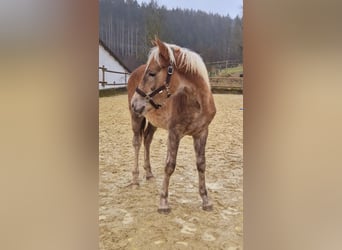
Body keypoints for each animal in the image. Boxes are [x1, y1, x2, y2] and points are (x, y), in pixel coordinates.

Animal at [127, 37, 215, 213]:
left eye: (152, 73)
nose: (134, 103)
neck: (197, 103)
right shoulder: (174, 133)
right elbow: (169, 165)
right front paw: (163, 202)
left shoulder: (202, 132)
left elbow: (201, 164)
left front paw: (205, 200)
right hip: (136, 117)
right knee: (137, 143)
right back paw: (135, 179)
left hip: (153, 121)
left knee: (147, 140)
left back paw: (149, 173)